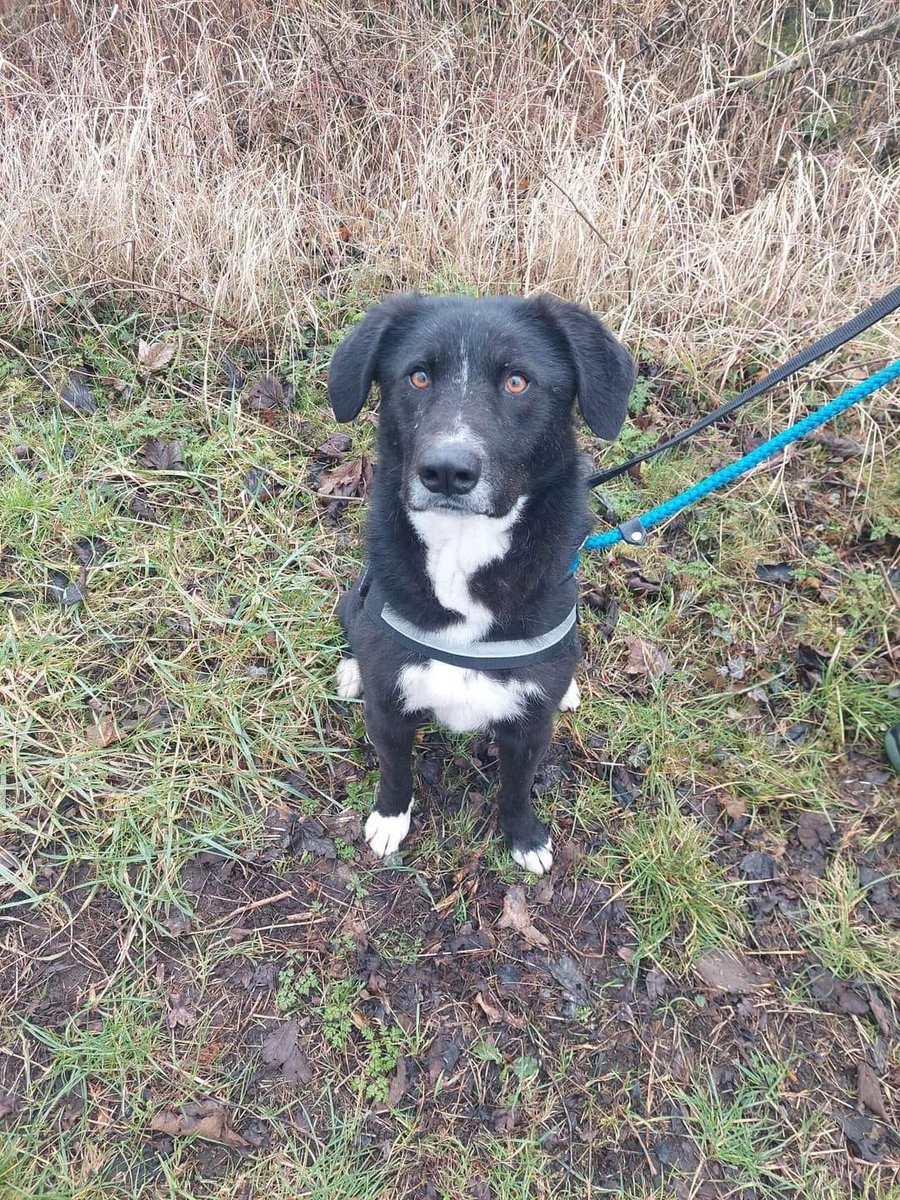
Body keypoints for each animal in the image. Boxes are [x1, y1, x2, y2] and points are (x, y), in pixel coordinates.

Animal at [328, 290, 633, 873]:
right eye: (418, 376)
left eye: (517, 381)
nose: (447, 471)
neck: (461, 550)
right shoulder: (390, 709)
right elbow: (395, 769)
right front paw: (390, 819)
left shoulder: (530, 729)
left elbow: (516, 787)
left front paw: (525, 838)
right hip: (354, 601)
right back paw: (352, 672)